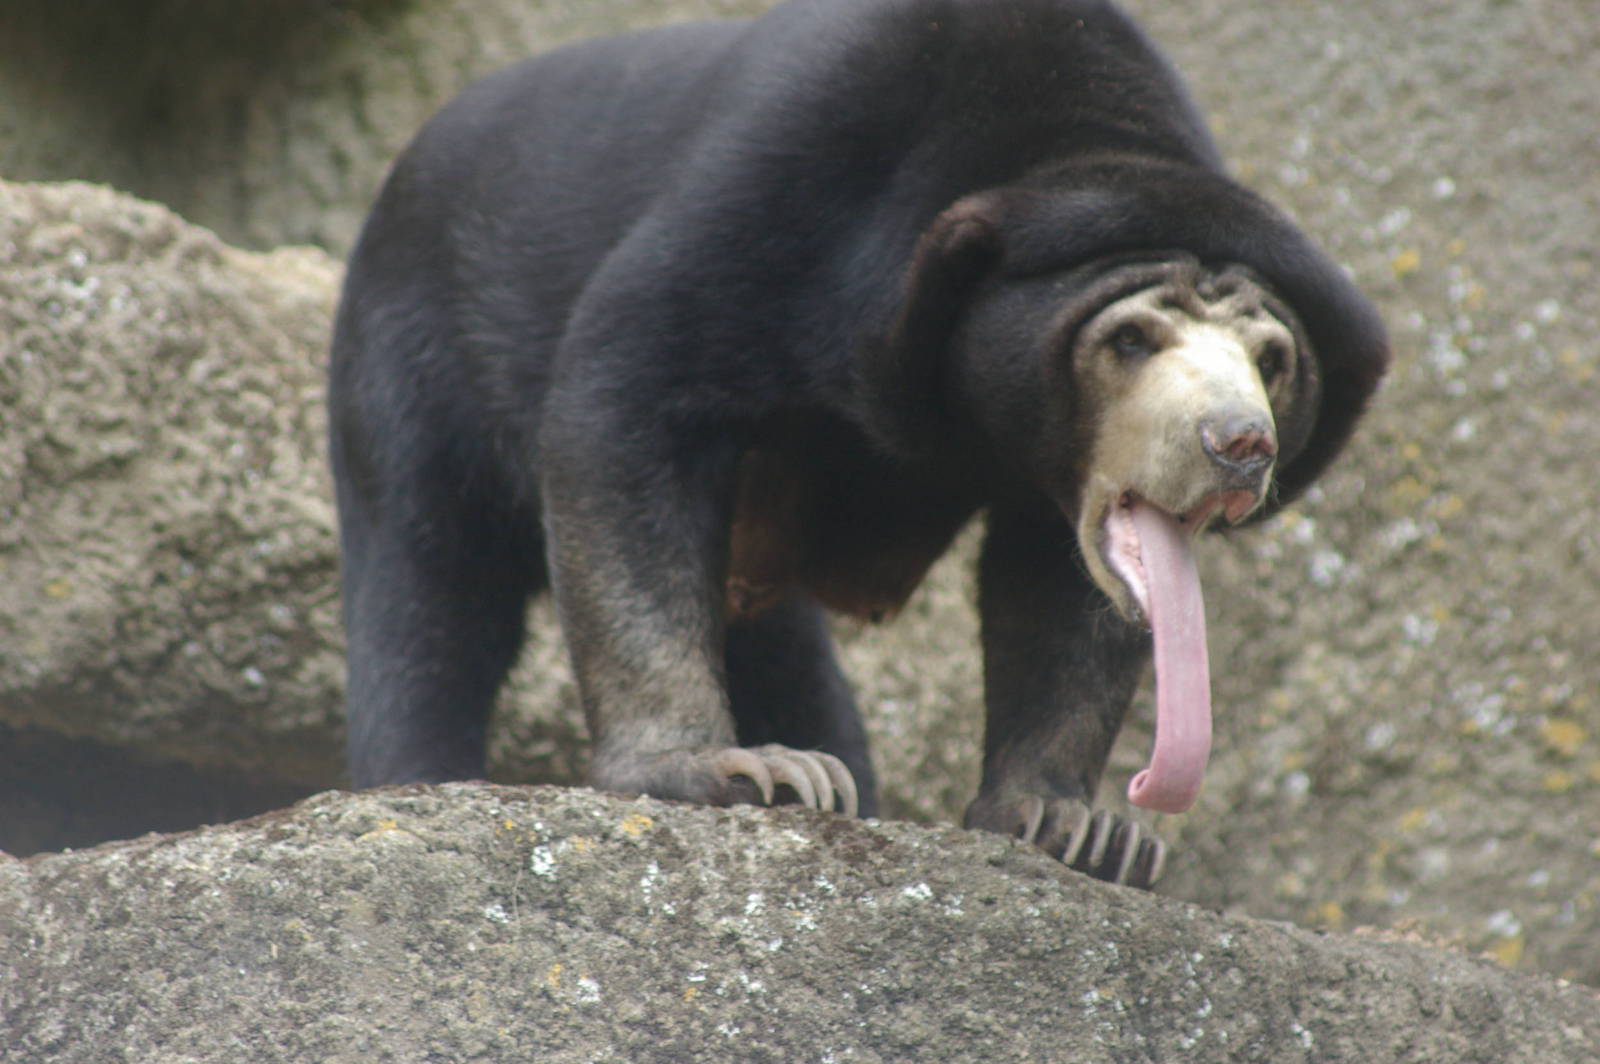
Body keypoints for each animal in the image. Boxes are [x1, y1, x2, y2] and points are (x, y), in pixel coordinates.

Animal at [330, 0, 1388, 889]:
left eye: (1273, 358)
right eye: (1129, 341)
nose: (1239, 445)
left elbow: (1060, 596)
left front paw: (1081, 828)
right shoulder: (779, 201)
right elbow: (627, 402)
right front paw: (717, 770)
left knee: (786, 657)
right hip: (407, 360)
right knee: (428, 587)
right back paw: (414, 781)